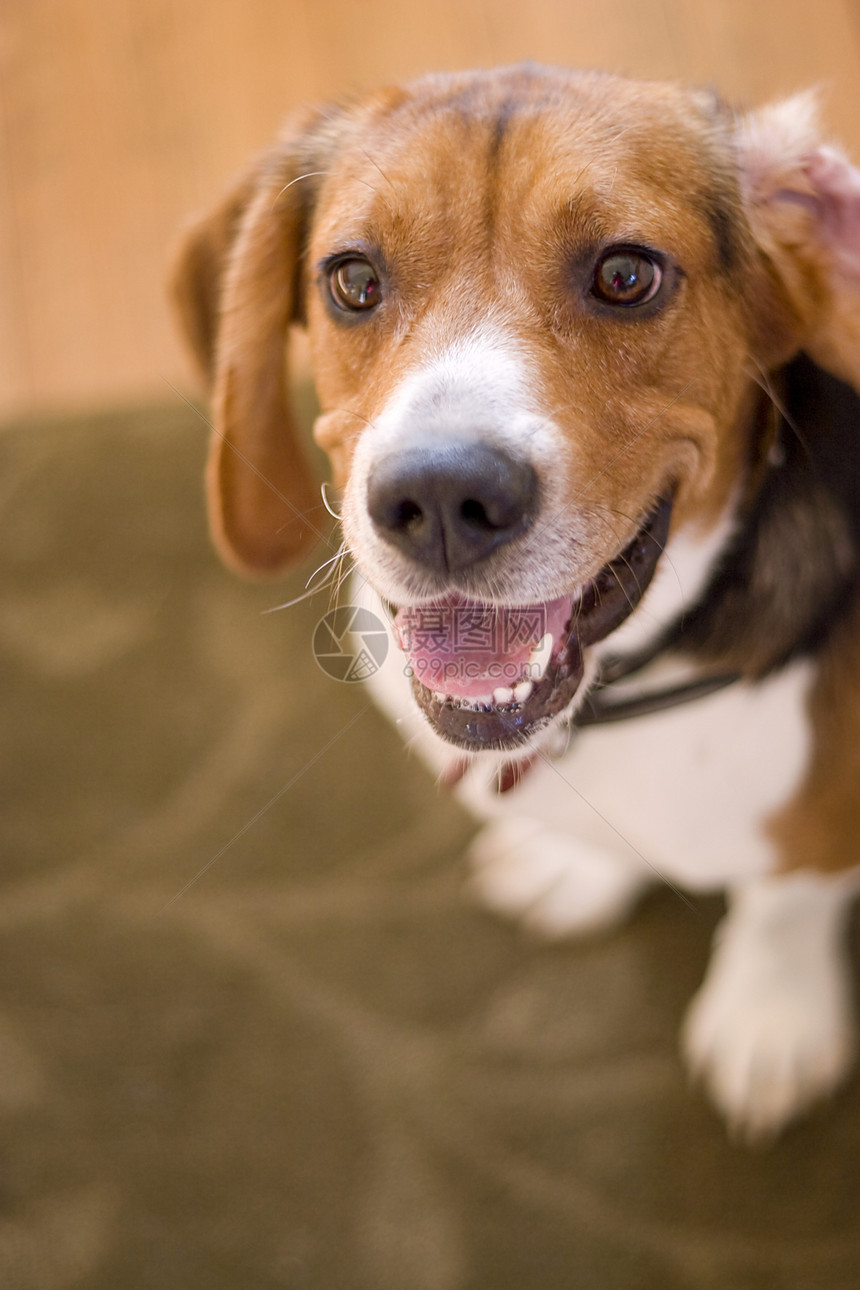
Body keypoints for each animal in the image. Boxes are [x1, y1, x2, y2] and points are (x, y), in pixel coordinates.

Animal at [171, 68, 860, 1140]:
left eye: (626, 276)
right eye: (353, 281)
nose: (443, 498)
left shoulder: (822, 830)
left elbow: (788, 900)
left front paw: (771, 1016)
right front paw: (578, 870)